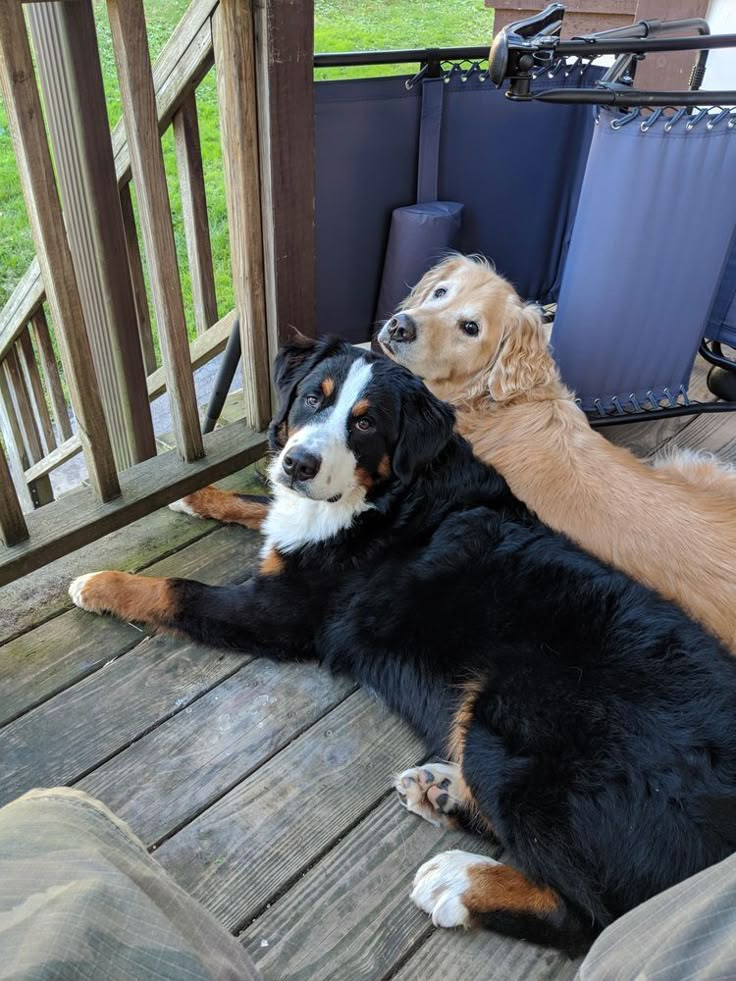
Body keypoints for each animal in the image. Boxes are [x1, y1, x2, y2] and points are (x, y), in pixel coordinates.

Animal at [72, 338, 736, 956]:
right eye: (312, 396)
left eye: (365, 423)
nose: (300, 463)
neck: (388, 495)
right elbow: (259, 505)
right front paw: (199, 494)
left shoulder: (279, 612)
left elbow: (175, 589)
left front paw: (99, 583)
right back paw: (439, 792)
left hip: (511, 714)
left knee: (590, 915)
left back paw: (459, 882)